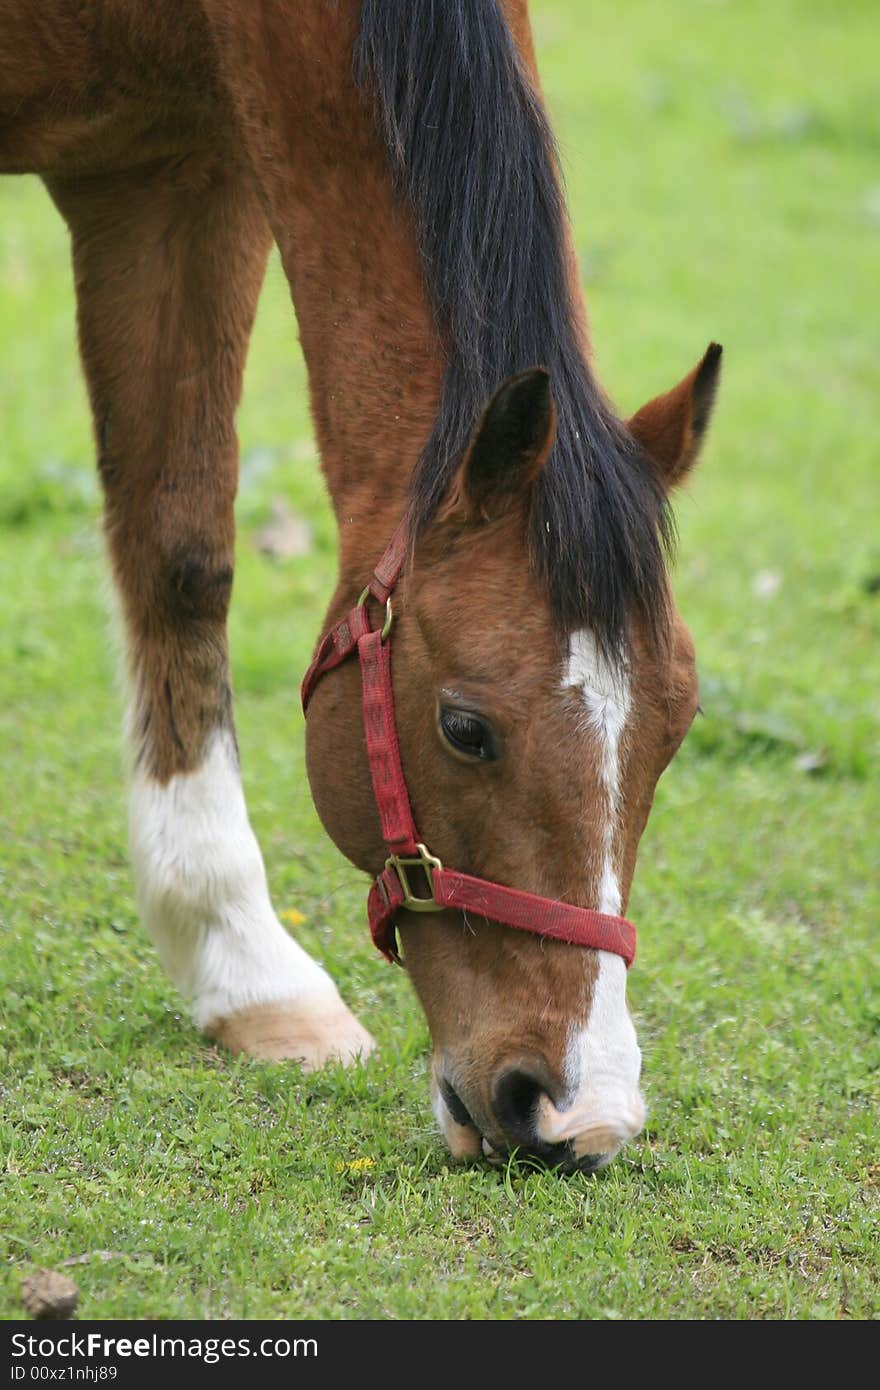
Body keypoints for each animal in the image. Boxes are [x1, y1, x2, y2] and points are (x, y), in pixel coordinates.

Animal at [3, 2, 717, 1173]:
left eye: (679, 725)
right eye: (466, 728)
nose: (579, 1114)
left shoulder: (174, 170)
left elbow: (178, 547)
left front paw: (240, 966)